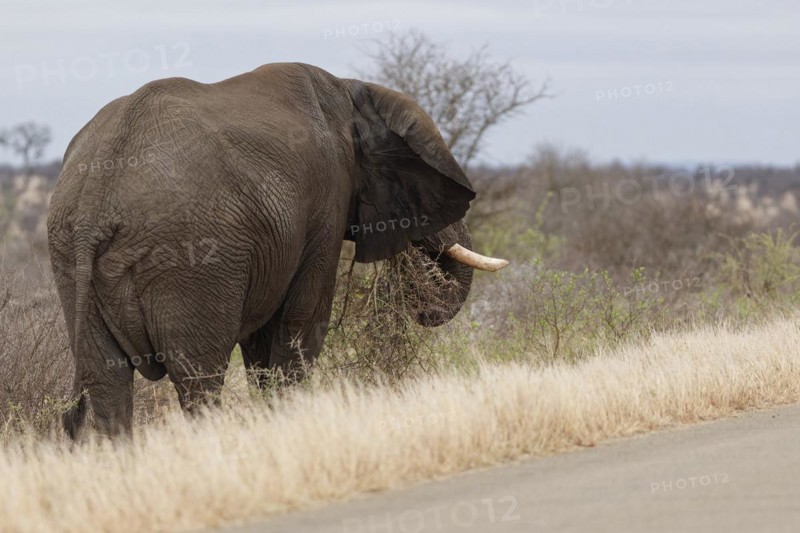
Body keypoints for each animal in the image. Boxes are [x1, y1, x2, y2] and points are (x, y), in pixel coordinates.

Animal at [47, 62, 508, 439]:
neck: (351, 90)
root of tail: (94, 202)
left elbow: (260, 342)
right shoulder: (327, 198)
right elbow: (303, 318)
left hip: (70, 258)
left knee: (107, 382)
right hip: (188, 259)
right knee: (198, 378)